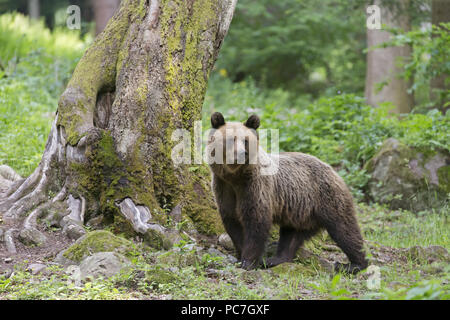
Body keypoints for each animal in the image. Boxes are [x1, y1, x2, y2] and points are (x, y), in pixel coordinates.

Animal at [207, 111, 370, 274]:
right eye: (230, 139)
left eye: (246, 141)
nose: (242, 153)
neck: (235, 178)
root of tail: (333, 170)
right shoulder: (224, 188)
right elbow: (233, 222)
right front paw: (241, 256)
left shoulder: (254, 188)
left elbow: (256, 223)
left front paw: (249, 261)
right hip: (300, 211)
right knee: (291, 235)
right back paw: (277, 259)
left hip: (327, 197)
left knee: (344, 229)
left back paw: (353, 264)